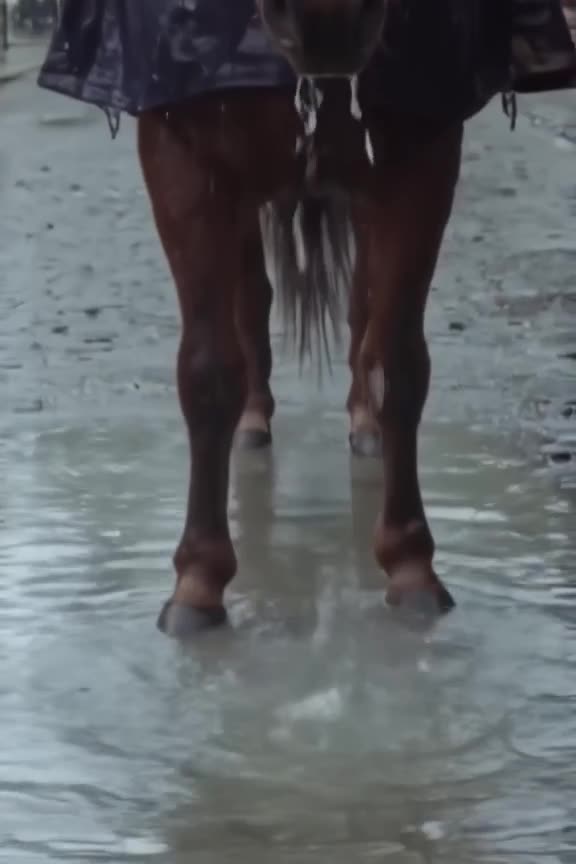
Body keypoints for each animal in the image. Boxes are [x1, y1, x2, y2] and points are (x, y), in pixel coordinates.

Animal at [37, 0, 545, 638]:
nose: (327, 25)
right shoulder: (183, 156)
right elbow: (208, 370)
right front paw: (198, 581)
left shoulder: (421, 155)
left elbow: (398, 363)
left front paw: (411, 567)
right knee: (252, 302)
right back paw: (253, 419)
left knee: (360, 312)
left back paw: (365, 424)